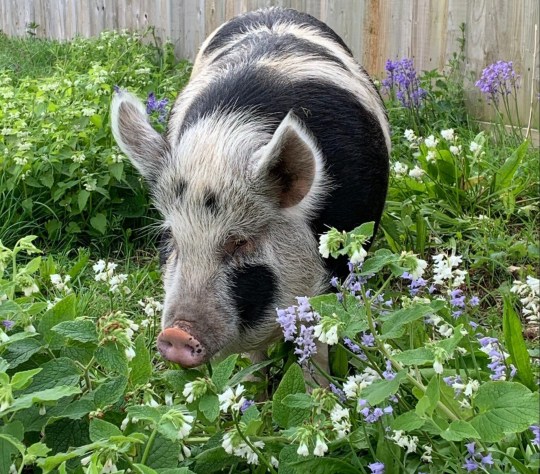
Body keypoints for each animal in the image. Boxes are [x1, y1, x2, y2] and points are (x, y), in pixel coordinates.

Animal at [110, 8, 388, 370]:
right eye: (171, 238)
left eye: (241, 241)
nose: (176, 335)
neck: (220, 150)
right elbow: (247, 358)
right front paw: (254, 382)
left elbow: (317, 336)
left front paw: (320, 384)